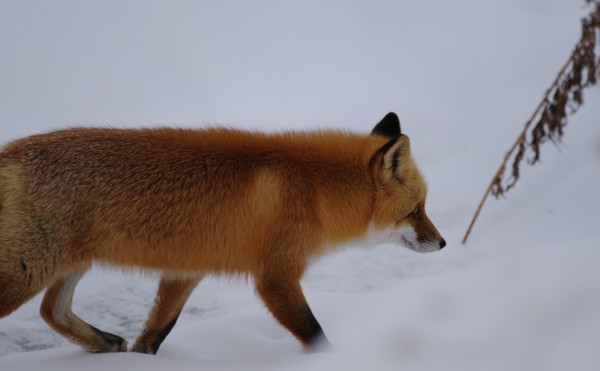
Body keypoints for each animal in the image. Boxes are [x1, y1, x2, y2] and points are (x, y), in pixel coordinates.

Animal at [0, 113, 446, 354]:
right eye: (416, 210)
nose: (443, 243)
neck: (314, 190)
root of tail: (11, 151)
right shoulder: (275, 276)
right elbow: (313, 332)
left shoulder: (187, 270)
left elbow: (157, 331)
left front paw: (140, 358)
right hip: (26, 273)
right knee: (46, 308)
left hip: (72, 263)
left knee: (51, 311)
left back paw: (105, 344)